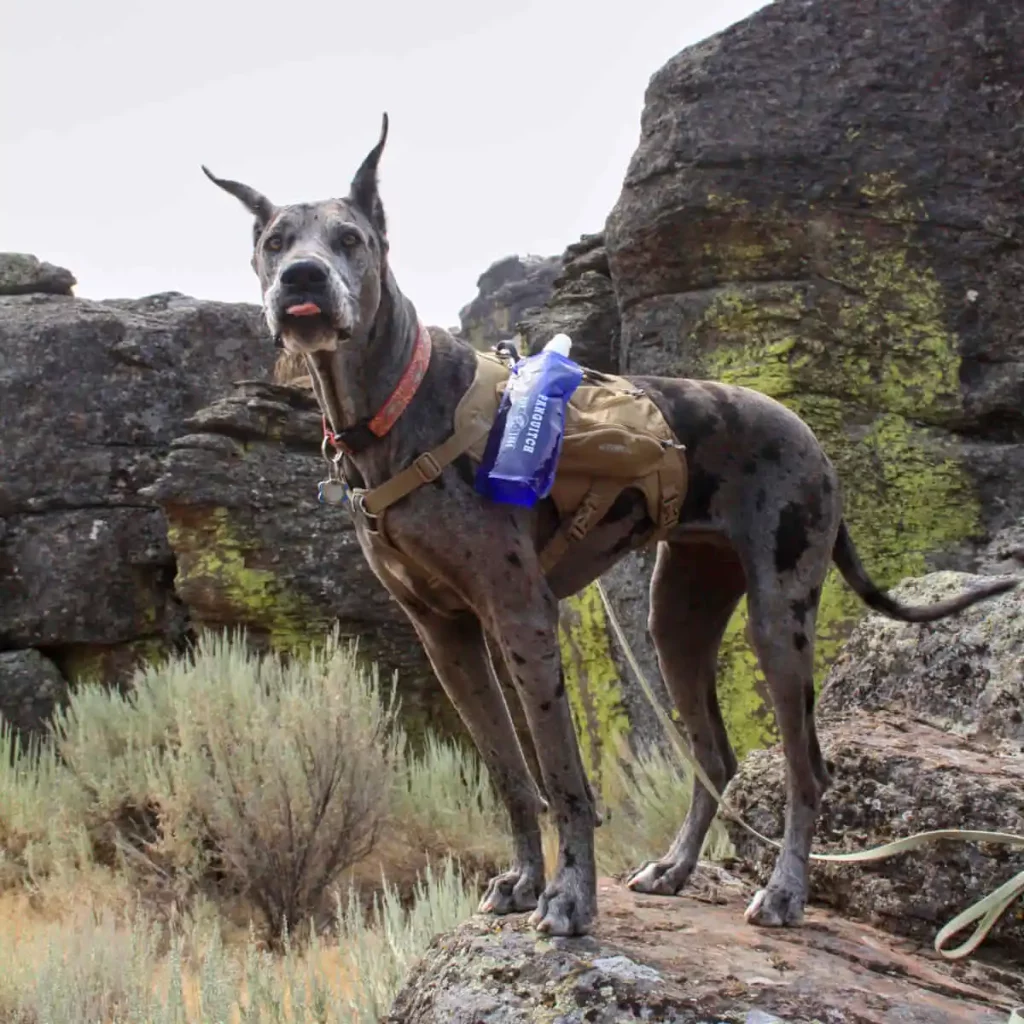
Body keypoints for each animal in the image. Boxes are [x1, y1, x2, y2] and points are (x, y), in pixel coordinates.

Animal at [203, 112, 1019, 937]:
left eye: (350, 238)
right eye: (275, 241)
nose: (302, 279)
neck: (394, 406)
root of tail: (811, 438)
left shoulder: (523, 617)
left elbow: (564, 775)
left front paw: (569, 897)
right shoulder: (445, 635)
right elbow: (509, 772)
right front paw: (524, 880)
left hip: (778, 620)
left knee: (807, 767)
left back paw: (785, 891)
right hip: (677, 621)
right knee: (716, 758)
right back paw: (676, 868)